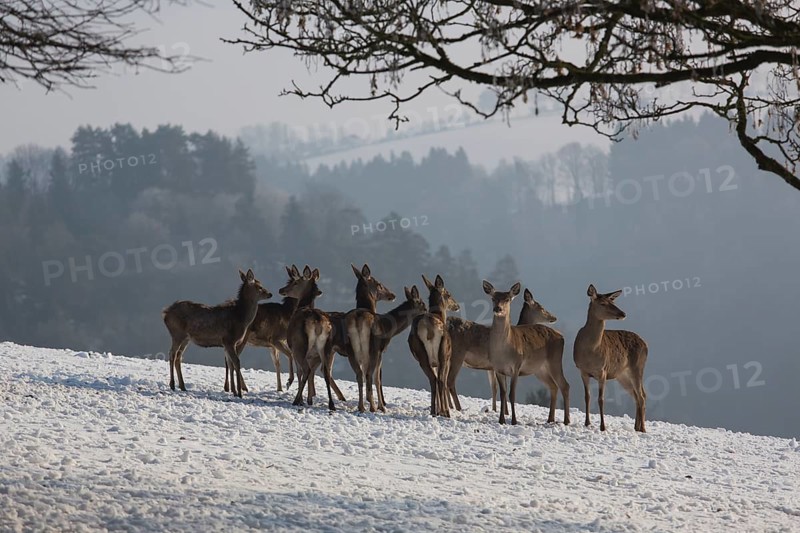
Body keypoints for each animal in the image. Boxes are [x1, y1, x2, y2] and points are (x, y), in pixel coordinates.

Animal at [163, 268, 272, 397]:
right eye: (260, 287)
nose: (270, 293)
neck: (241, 318)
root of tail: (165, 313)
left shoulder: (227, 344)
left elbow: (230, 364)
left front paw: (234, 391)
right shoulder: (229, 340)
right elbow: (236, 363)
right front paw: (239, 393)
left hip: (186, 338)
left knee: (179, 357)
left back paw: (183, 386)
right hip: (177, 334)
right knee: (172, 354)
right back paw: (172, 385)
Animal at [407, 274, 460, 417]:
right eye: (448, 294)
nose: (457, 305)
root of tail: (428, 326)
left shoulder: (434, 363)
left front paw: (438, 408)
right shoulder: (447, 358)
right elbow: (444, 380)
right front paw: (444, 409)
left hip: (422, 356)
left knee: (433, 380)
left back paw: (433, 411)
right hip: (443, 353)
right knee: (440, 381)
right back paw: (445, 412)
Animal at [447, 288, 563, 421]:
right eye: (541, 307)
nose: (554, 317)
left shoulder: (492, 368)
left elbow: (496, 387)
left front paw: (498, 410)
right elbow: (500, 388)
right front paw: (504, 412)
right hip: (457, 355)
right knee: (450, 381)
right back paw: (457, 408)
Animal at [482, 280, 570, 425]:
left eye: (507, 299)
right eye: (493, 298)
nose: (498, 309)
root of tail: (562, 336)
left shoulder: (516, 366)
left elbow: (512, 394)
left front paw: (513, 420)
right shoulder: (498, 369)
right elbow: (503, 393)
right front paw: (501, 420)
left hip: (555, 361)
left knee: (564, 385)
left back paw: (566, 420)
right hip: (540, 369)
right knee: (553, 386)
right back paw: (550, 419)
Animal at [574, 284, 648, 432]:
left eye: (613, 302)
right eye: (603, 303)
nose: (623, 314)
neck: (589, 351)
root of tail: (646, 345)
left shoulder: (603, 370)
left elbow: (601, 399)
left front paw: (603, 426)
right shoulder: (582, 371)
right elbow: (587, 397)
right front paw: (587, 423)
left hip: (638, 367)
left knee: (642, 396)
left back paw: (643, 428)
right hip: (622, 375)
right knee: (637, 395)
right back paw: (636, 427)